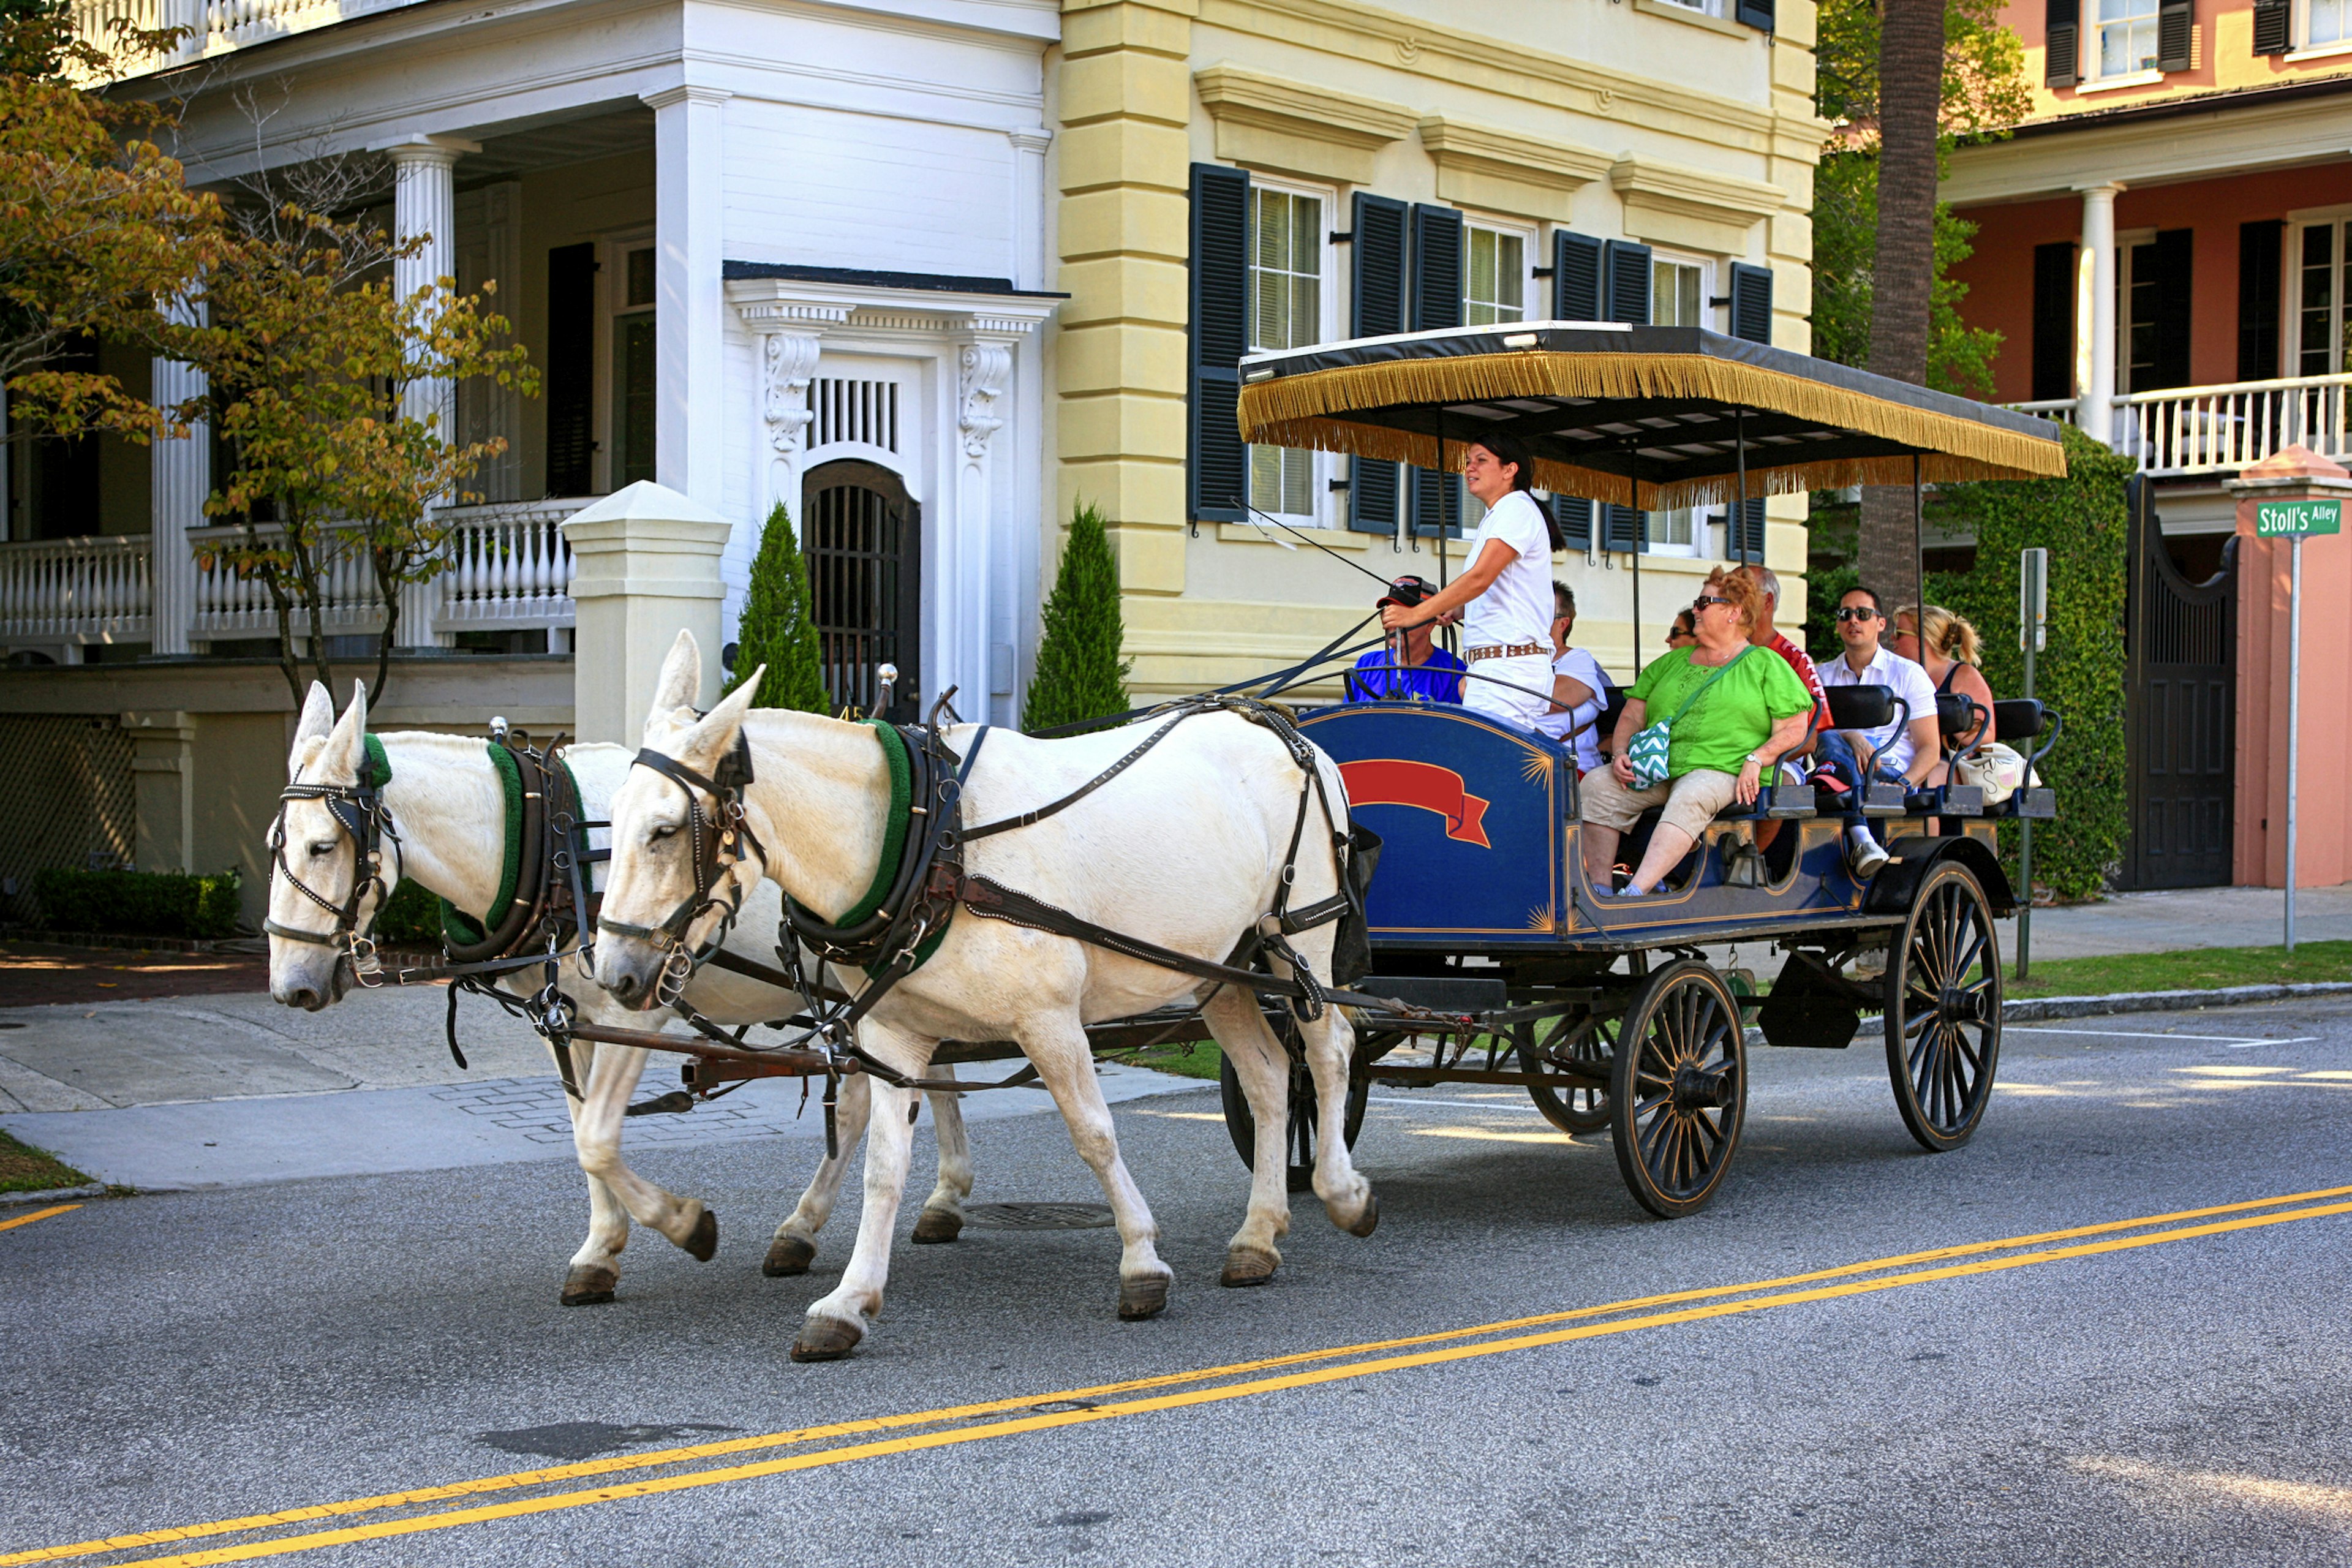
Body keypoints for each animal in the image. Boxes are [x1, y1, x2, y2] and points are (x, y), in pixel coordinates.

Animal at [265, 682, 973, 1306]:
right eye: (277, 843)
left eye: (323, 845)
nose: (289, 985)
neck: (547, 845)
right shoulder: (565, 1018)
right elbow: (583, 1131)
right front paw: (600, 1251)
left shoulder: (635, 1004)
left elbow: (599, 1139)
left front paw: (686, 1224)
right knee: (911, 1081)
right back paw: (922, 1202)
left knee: (871, 1100)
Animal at [588, 635, 1373, 1363]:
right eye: (613, 817)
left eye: (665, 831)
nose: (615, 974)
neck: (930, 837)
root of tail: (1287, 730)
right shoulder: (893, 1032)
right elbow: (883, 1165)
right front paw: (847, 1302)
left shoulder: (1049, 1019)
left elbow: (1095, 1133)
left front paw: (1142, 1261)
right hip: (1221, 967)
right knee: (1270, 1078)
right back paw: (1258, 1235)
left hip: (1300, 934)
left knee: (1329, 1052)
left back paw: (1341, 1189)